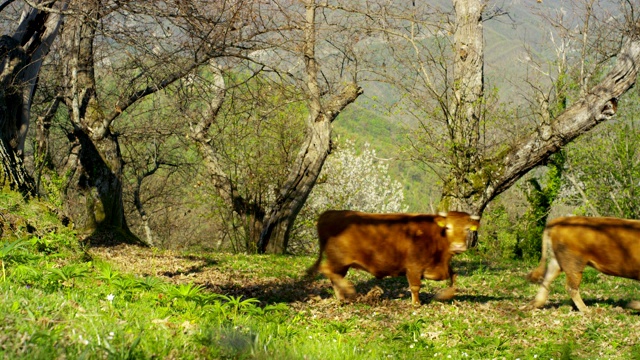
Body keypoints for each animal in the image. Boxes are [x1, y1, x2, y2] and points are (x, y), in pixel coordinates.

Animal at [306, 210, 480, 306]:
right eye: (448, 227)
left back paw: (342, 298)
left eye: (467, 229)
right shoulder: (413, 266)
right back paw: (348, 290)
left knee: (334, 277)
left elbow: (454, 277)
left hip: (341, 264)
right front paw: (416, 304)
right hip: (338, 260)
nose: (458, 246)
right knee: (326, 269)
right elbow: (415, 286)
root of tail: (330, 213)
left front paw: (444, 295)